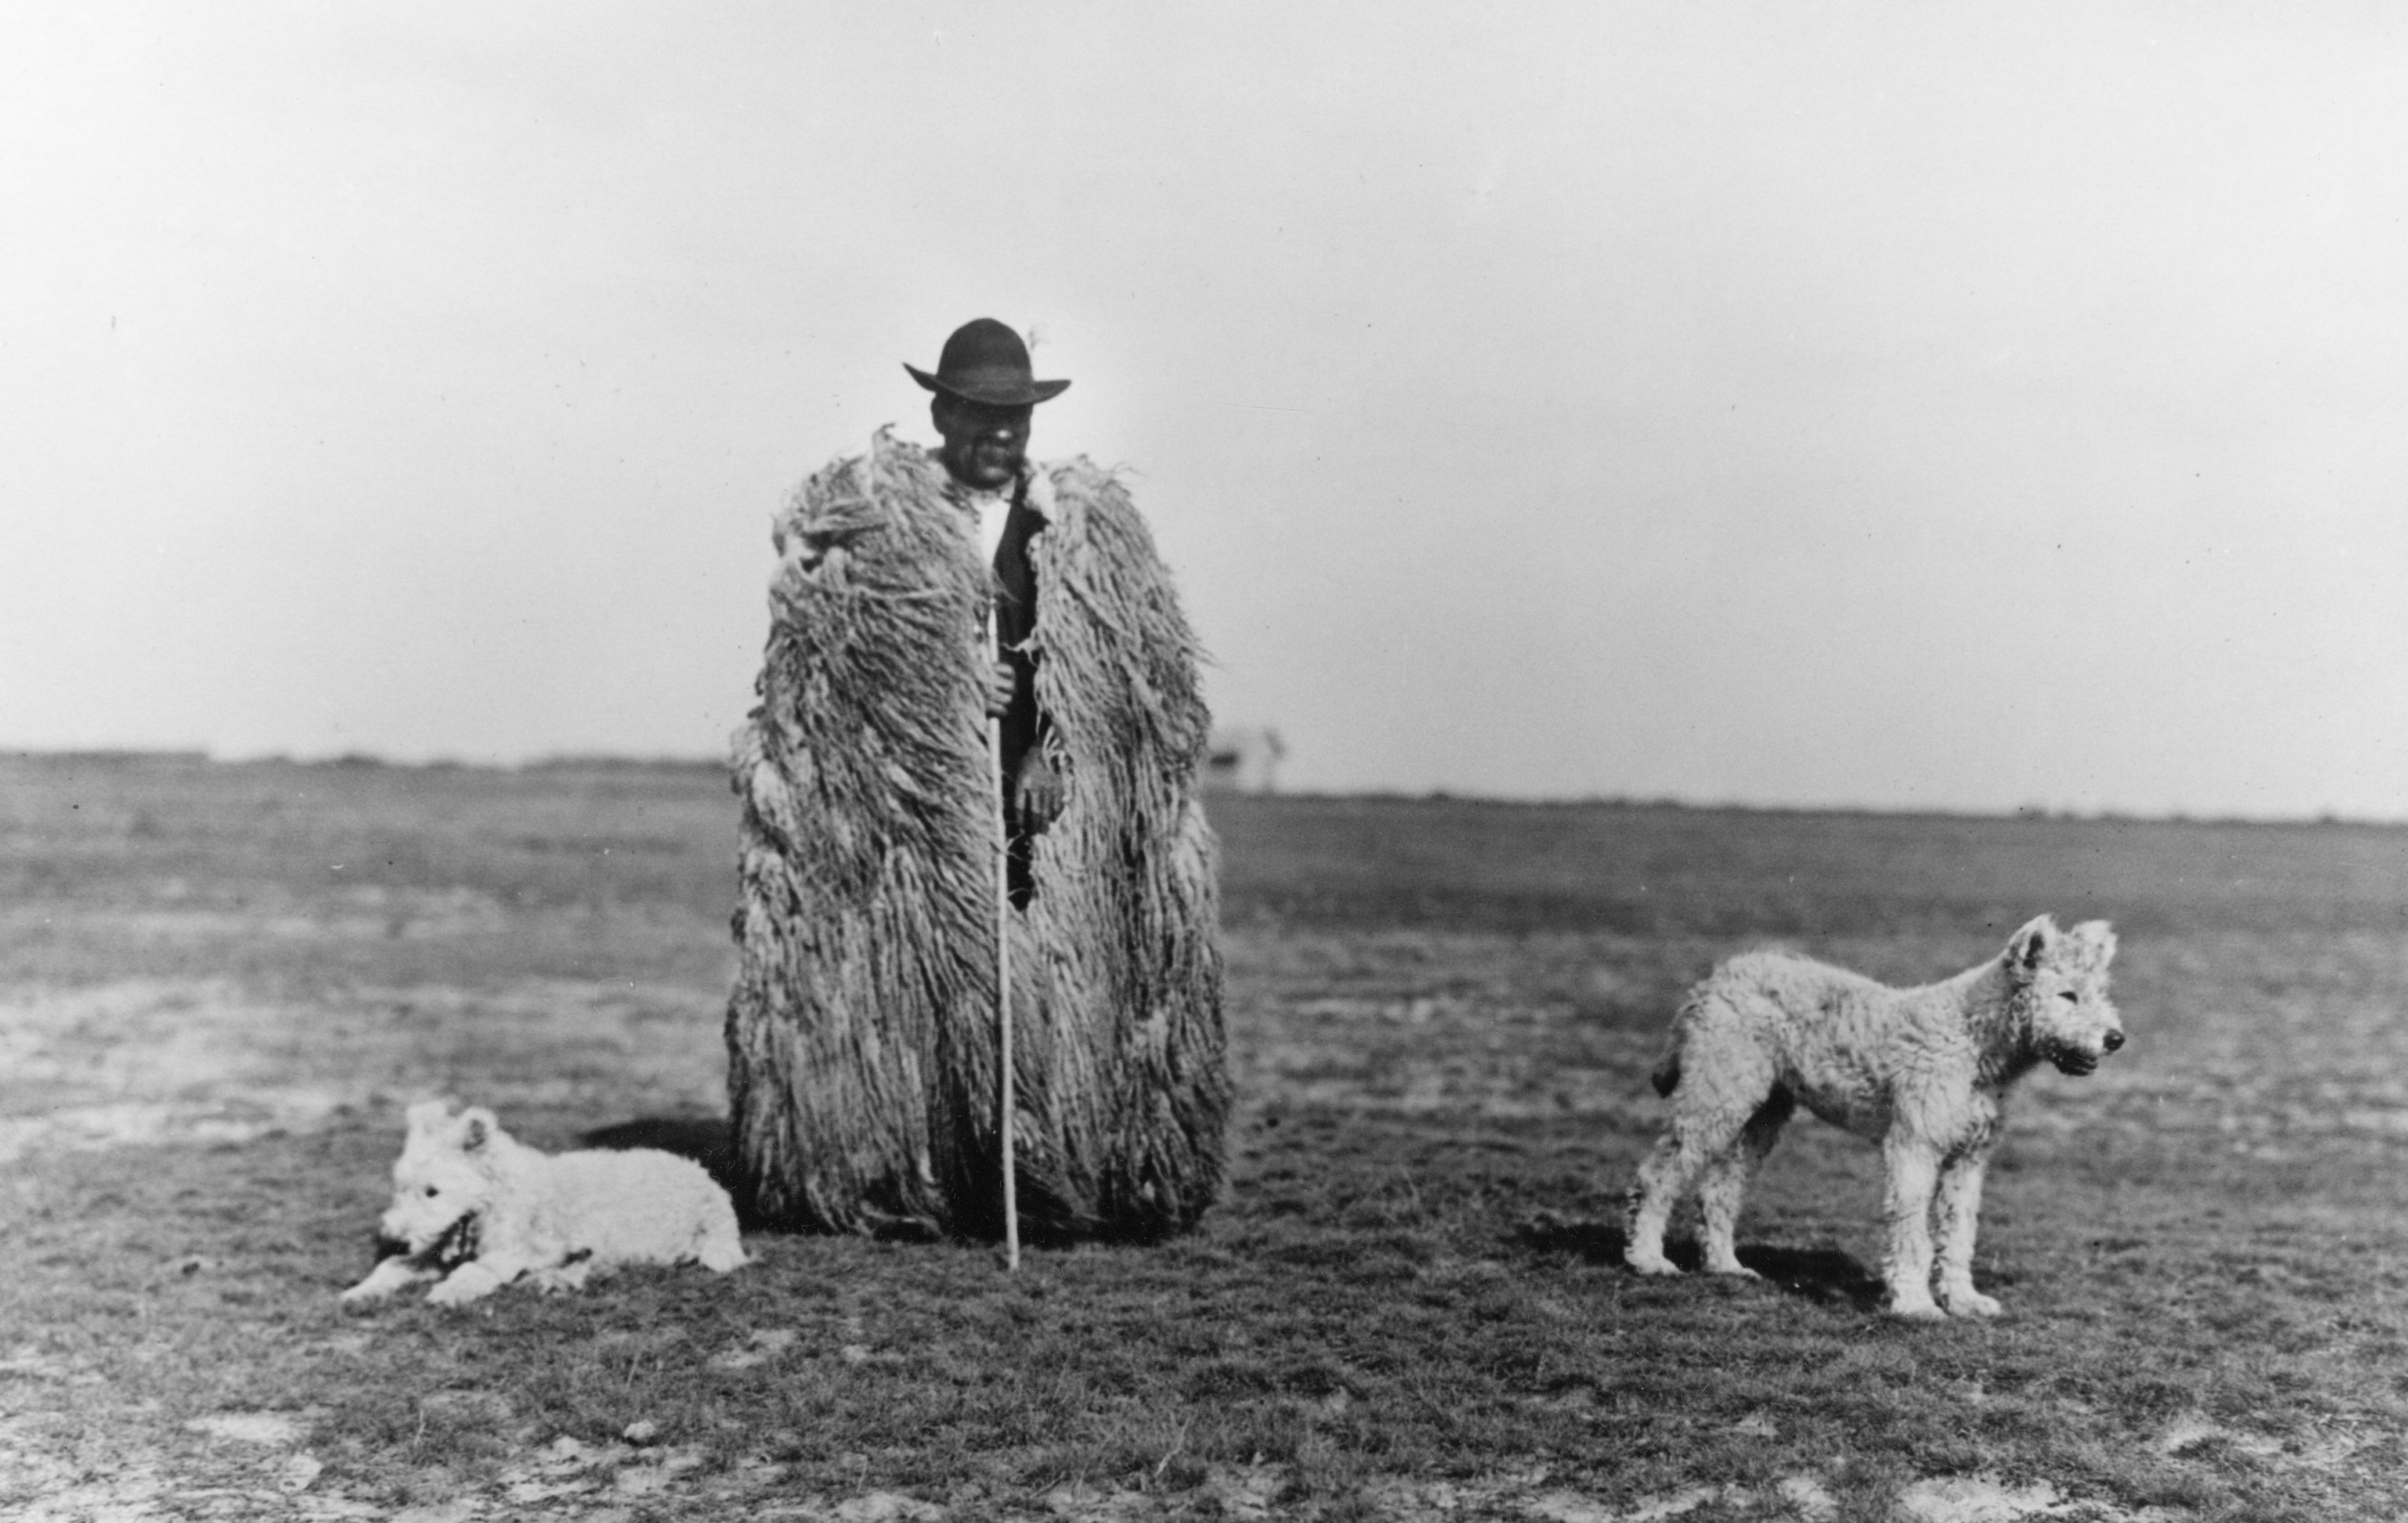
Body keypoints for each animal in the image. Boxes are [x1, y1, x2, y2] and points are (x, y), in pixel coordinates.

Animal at [339, 1099, 746, 1301]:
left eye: (433, 1192)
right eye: (400, 1188)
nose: (393, 1240)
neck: (499, 1198)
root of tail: (704, 1178)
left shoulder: (508, 1252)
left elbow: (475, 1271)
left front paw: (449, 1293)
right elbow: (393, 1267)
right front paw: (360, 1292)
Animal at [1618, 915, 2128, 1320]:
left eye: (2101, 992)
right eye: (2067, 994)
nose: (2116, 1039)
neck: (1974, 1041)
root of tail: (1715, 979)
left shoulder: (1968, 1158)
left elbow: (1959, 1233)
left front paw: (1964, 1301)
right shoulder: (1914, 1147)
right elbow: (1912, 1232)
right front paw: (1916, 1305)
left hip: (1762, 1113)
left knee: (1718, 1191)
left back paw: (1727, 1266)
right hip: (1715, 1099)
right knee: (1657, 1176)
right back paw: (1648, 1260)